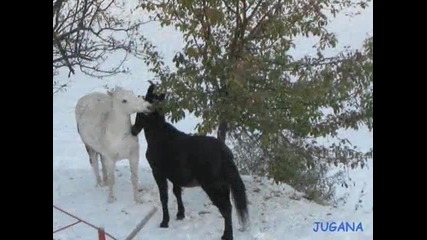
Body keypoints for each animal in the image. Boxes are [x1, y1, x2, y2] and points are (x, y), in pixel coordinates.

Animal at [132, 83, 249, 239]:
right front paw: (180, 214)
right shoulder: (175, 175)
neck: (161, 137)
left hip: (213, 186)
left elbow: (164, 197)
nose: (133, 130)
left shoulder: (158, 173)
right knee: (228, 207)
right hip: (223, 186)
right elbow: (176, 192)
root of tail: (224, 153)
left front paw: (165, 222)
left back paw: (227, 236)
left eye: (140, 112)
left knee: (225, 208)